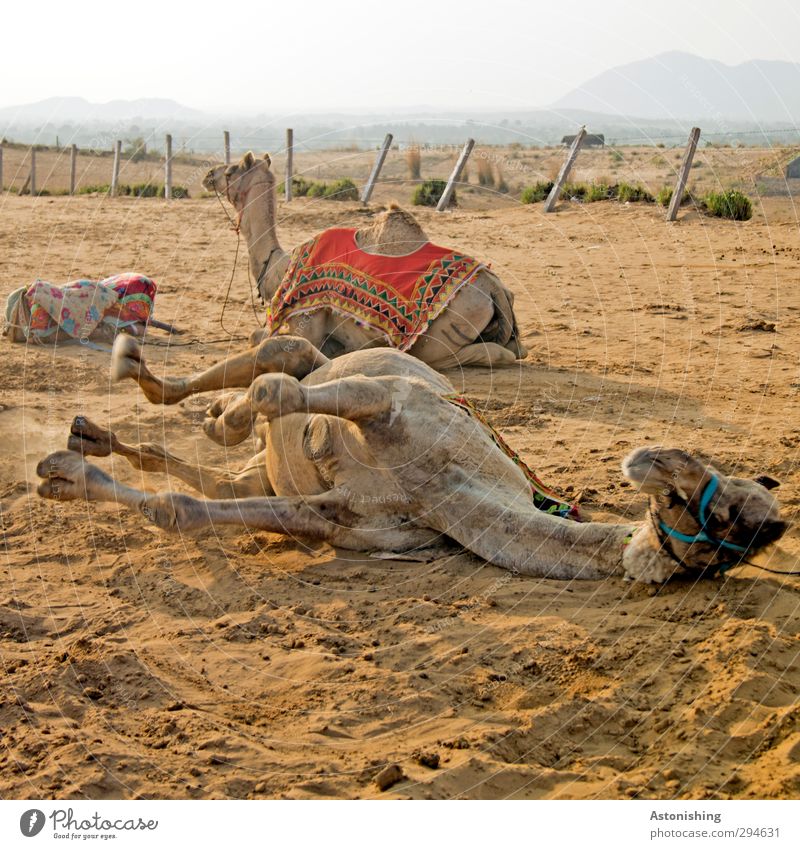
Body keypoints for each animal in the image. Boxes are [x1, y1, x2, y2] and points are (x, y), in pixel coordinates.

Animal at [37, 336, 788, 584]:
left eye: (730, 520)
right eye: (722, 502)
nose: (648, 457)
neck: (440, 490)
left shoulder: (337, 517)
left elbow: (183, 508)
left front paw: (63, 477)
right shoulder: (392, 404)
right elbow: (282, 394)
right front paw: (232, 416)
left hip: (264, 472)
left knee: (205, 470)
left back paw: (86, 438)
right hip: (320, 362)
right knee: (277, 361)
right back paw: (152, 379)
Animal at [200, 154, 524, 366]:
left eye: (231, 170)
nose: (208, 174)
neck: (278, 268)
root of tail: (494, 287)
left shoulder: (307, 323)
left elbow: (260, 338)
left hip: (441, 336)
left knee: (487, 355)